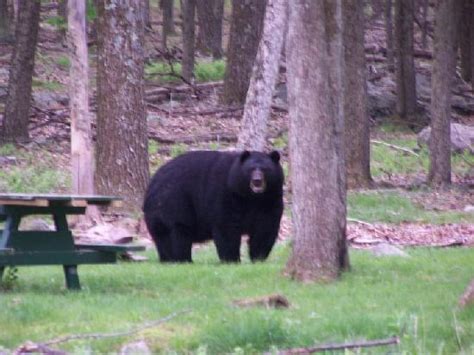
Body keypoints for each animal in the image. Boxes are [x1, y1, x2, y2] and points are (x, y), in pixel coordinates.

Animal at [143, 149, 284, 262]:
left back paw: (168, 259)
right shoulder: (225, 194)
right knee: (178, 233)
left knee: (163, 237)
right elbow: (226, 226)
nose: (257, 181)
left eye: (266, 169)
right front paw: (231, 259)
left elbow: (265, 228)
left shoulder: (270, 199)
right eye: (250, 169)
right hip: (173, 204)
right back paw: (182, 259)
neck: (251, 197)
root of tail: (151, 185)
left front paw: (258, 258)